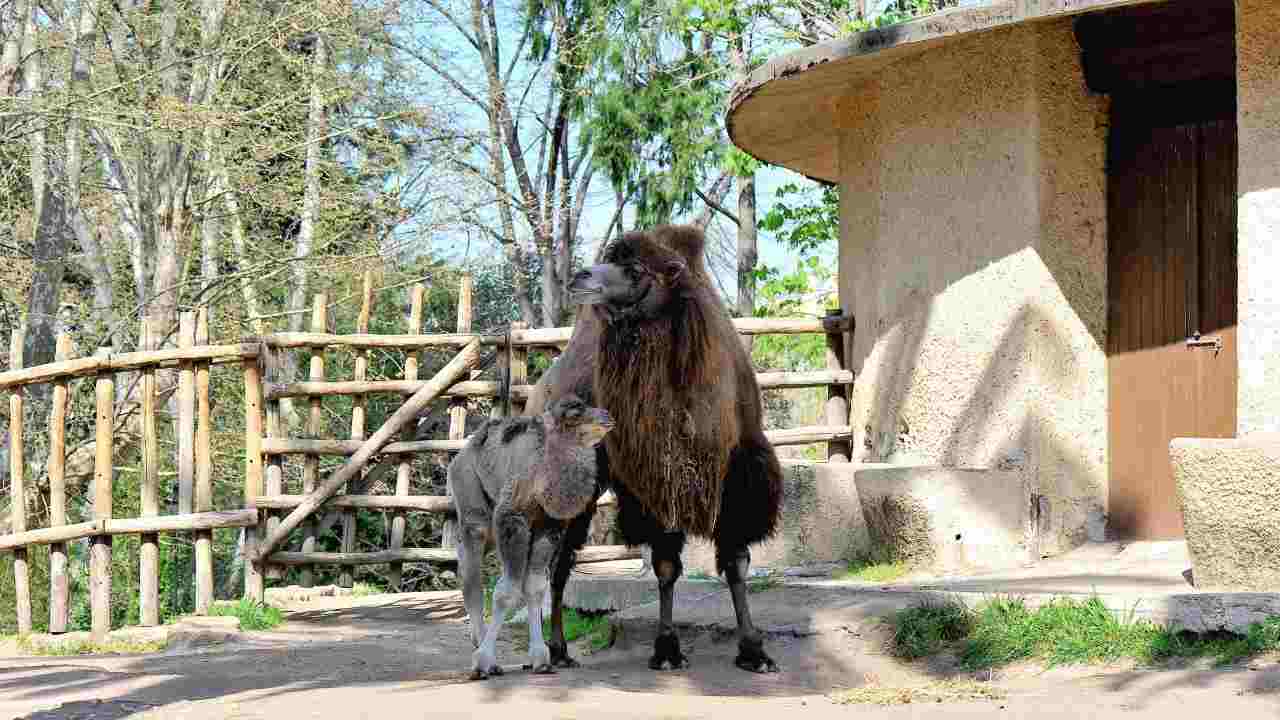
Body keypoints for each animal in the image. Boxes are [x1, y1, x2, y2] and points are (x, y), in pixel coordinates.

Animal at [448, 392, 611, 676]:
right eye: (574, 413)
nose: (607, 416)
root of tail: (460, 455)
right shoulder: (512, 518)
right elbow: (505, 592)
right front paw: (484, 661)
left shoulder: (549, 526)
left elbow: (534, 587)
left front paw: (540, 659)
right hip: (472, 500)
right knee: (472, 574)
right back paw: (482, 652)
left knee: (465, 565)